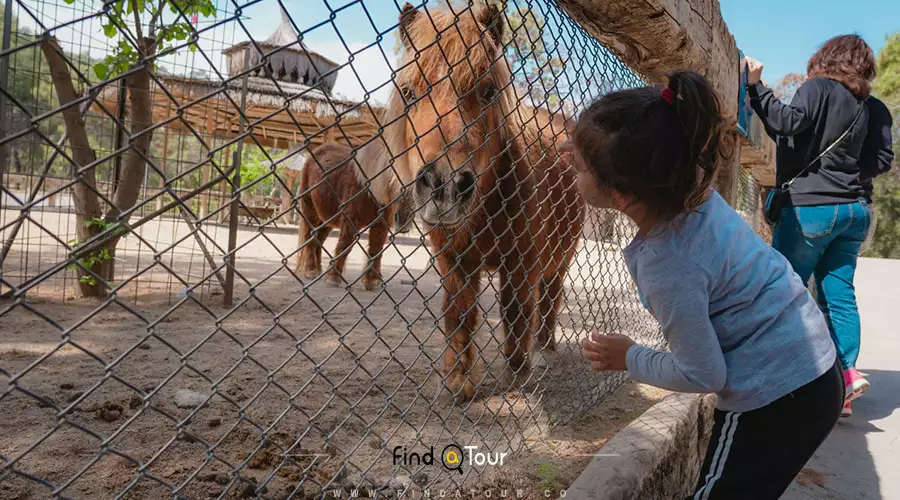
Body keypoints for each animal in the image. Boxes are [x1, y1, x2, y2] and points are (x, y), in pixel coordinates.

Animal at [298, 140, 414, 290]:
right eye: (394, 177)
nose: (404, 221)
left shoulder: (380, 224)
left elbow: (376, 249)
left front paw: (371, 281)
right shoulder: (351, 220)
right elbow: (345, 245)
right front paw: (333, 278)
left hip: (327, 218)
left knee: (319, 239)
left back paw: (318, 270)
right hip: (310, 209)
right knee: (310, 238)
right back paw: (311, 271)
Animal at [356, 3, 584, 400]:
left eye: (489, 91)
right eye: (409, 92)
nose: (445, 186)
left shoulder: (522, 262)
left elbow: (515, 309)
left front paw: (517, 371)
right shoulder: (455, 261)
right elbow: (459, 313)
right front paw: (458, 378)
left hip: (560, 257)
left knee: (550, 296)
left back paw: (543, 350)